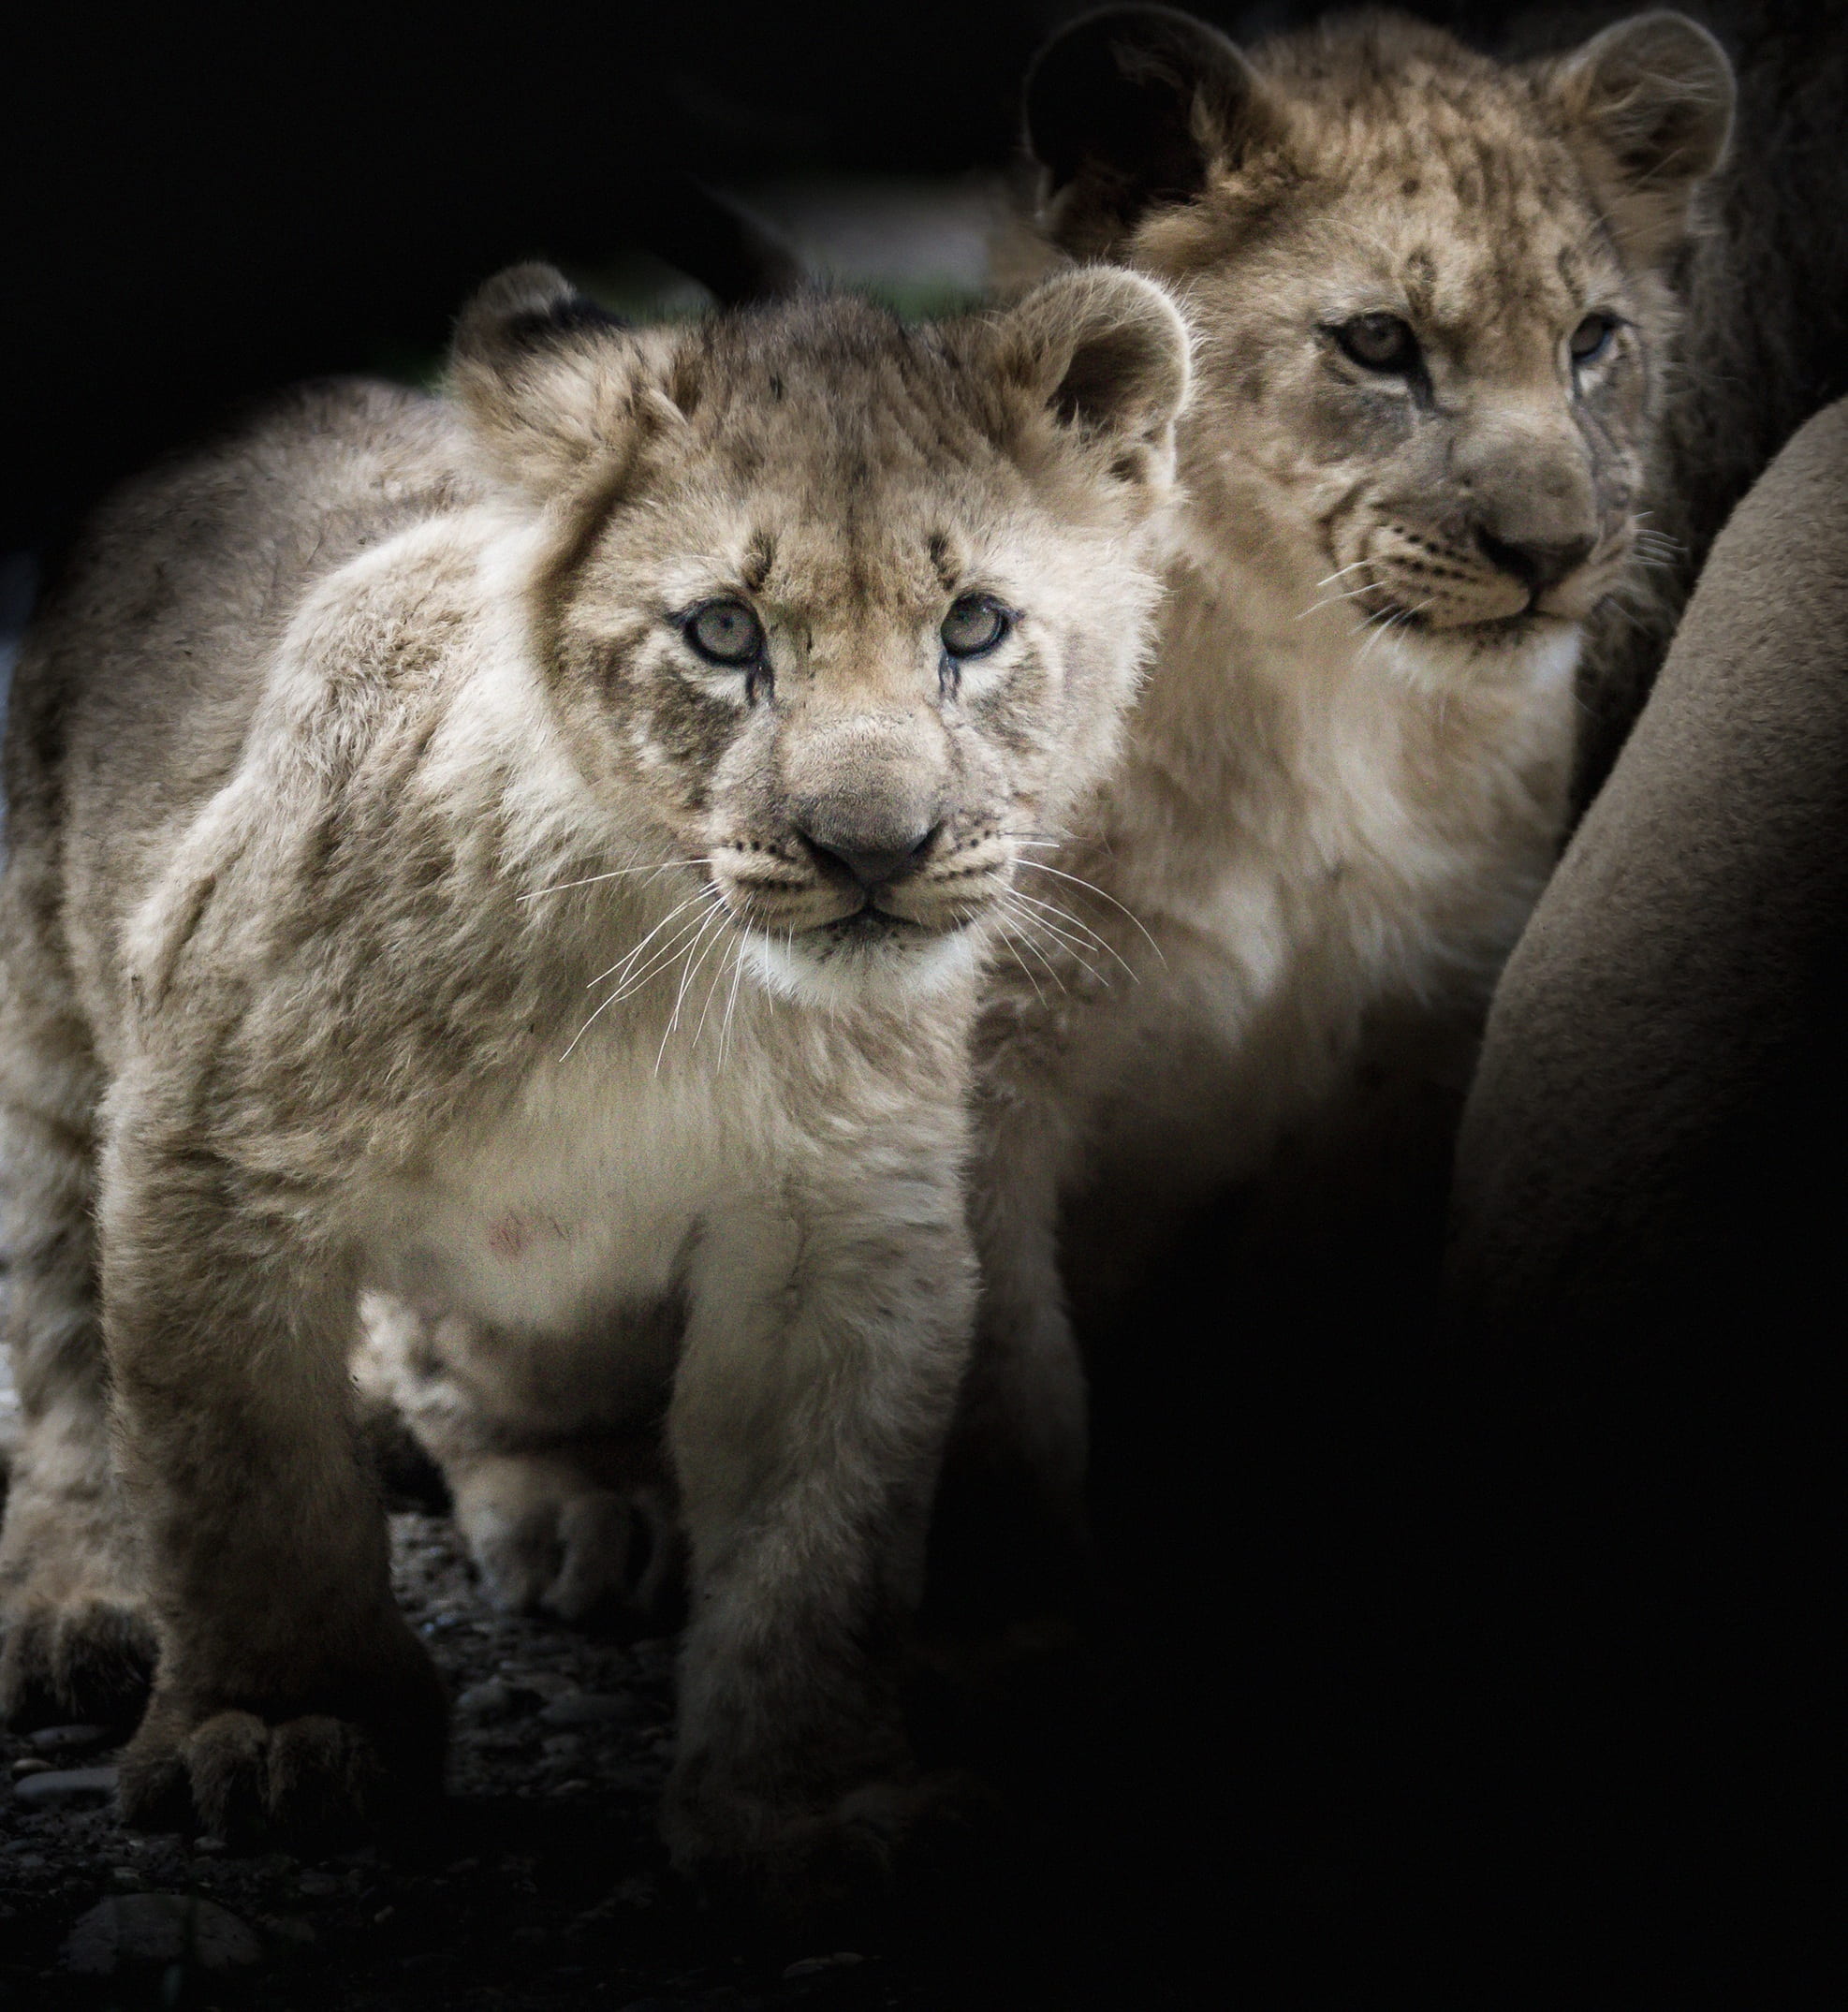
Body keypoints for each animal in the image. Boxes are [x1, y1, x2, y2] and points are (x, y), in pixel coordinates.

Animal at [0, 259, 1189, 1907]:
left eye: (975, 624)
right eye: (721, 631)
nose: (870, 851)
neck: (661, 972)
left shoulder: (844, 1228)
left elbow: (824, 1538)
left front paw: (806, 1805)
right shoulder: (211, 1148)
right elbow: (243, 1480)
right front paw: (281, 1724)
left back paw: (593, 1511)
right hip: (50, 1045)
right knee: (66, 1357)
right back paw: (82, 1605)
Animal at [939, 7, 1737, 1610]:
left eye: (1591, 343)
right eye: (1377, 343)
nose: (1552, 550)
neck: (1321, 700)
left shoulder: (1406, 1049)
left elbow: (1300, 1340)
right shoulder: (974, 1054)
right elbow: (1003, 1380)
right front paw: (1019, 1608)